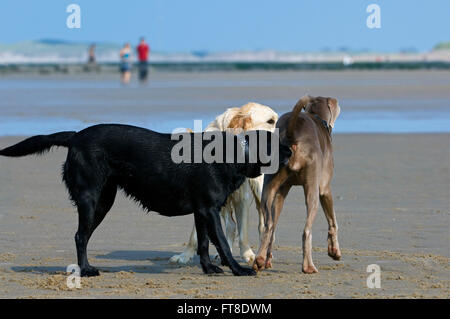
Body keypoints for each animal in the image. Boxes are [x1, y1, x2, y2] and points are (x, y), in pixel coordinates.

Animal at [0, 125, 292, 278]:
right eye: (277, 143)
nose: (291, 150)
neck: (234, 153)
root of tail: (75, 135)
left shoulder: (201, 211)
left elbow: (204, 243)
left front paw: (209, 268)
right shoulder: (209, 210)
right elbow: (221, 242)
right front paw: (238, 269)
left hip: (104, 201)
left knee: (83, 235)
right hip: (90, 198)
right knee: (80, 236)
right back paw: (85, 270)